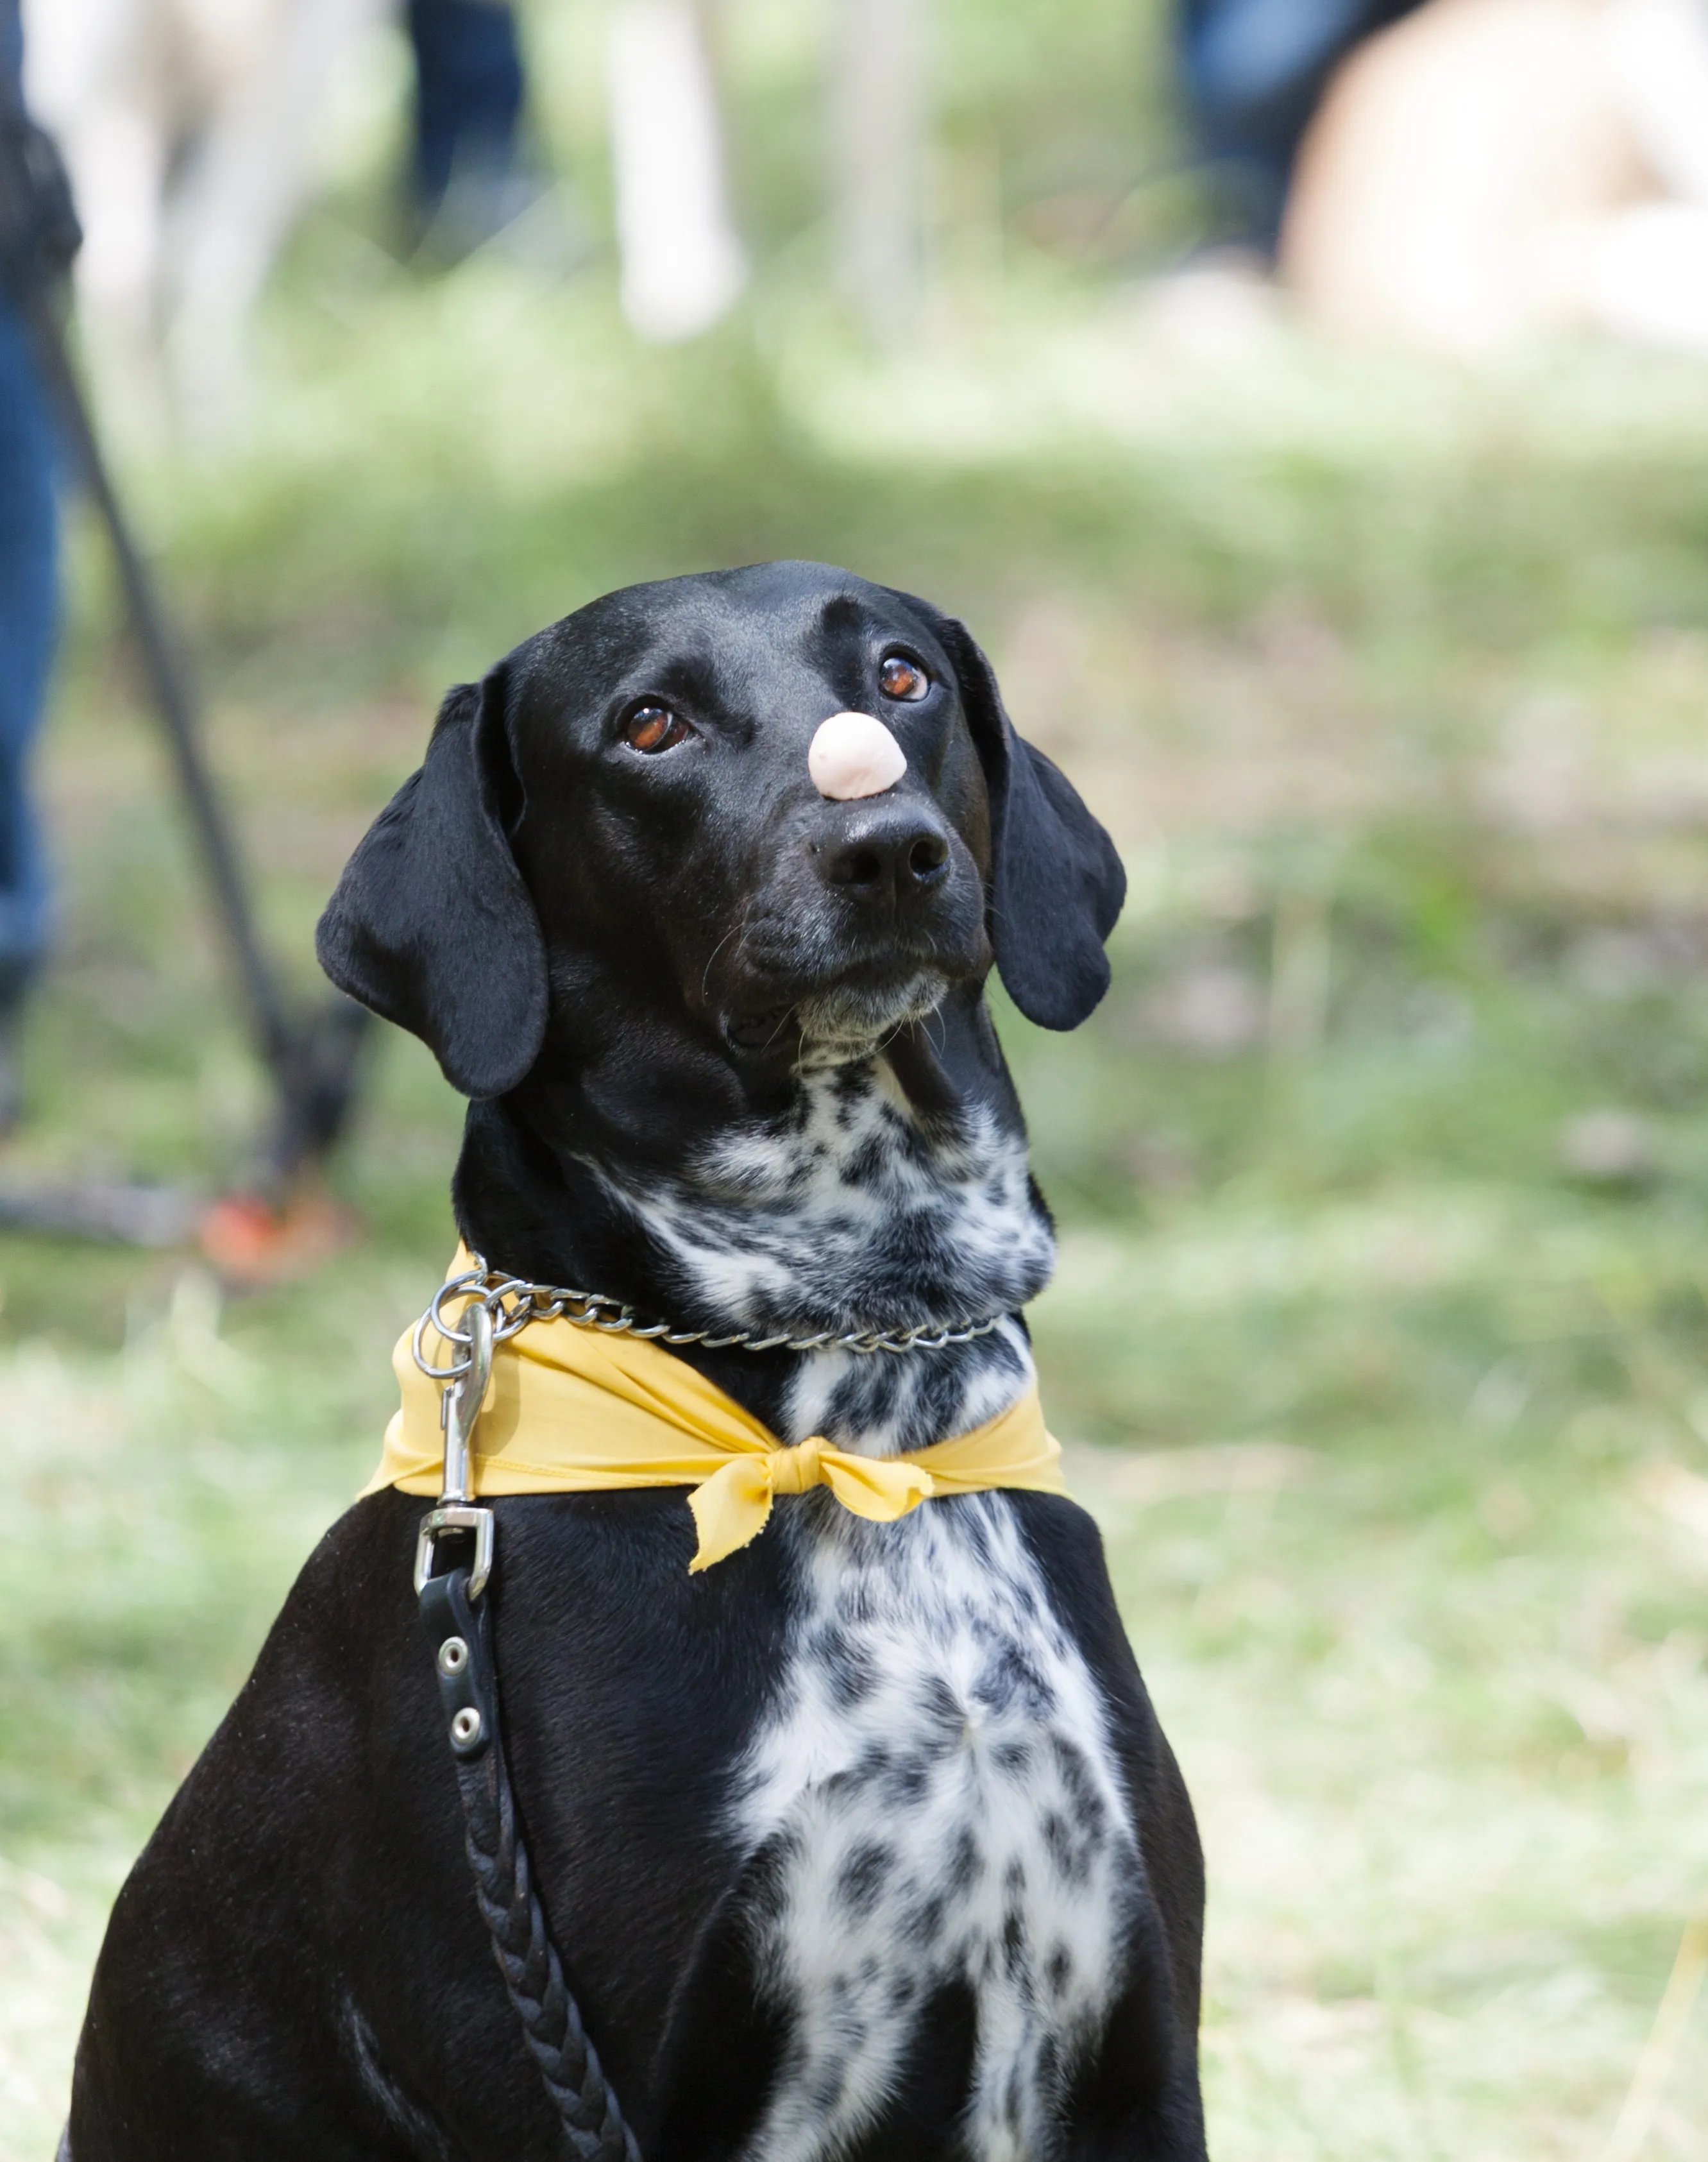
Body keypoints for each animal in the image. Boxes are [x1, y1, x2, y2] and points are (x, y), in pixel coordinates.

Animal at [63, 562, 1202, 2162]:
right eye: (649, 724)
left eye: (899, 676)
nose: (886, 849)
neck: (838, 1399)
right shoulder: (571, 2057)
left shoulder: (1130, 2046)